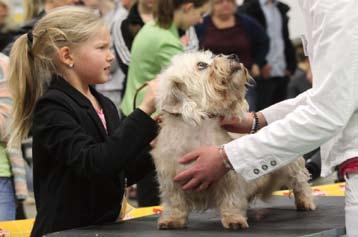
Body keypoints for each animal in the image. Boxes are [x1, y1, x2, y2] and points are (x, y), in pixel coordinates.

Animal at [151, 51, 316, 230]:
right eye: (201, 65)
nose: (233, 56)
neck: (198, 130)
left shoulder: (228, 176)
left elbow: (231, 199)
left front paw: (234, 219)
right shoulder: (171, 180)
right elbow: (175, 203)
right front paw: (172, 220)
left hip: (291, 166)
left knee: (300, 181)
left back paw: (305, 201)